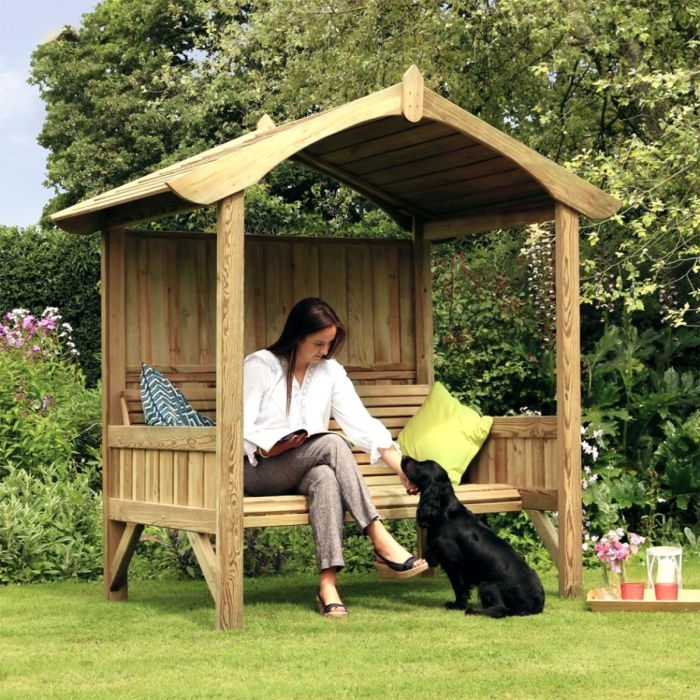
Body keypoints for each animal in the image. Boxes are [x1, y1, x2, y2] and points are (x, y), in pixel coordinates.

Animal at [402, 456, 544, 616]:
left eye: (422, 464)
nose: (404, 457)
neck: (443, 513)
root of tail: (536, 604)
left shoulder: (454, 562)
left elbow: (459, 587)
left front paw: (457, 605)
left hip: (487, 585)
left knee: (500, 610)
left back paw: (473, 610)